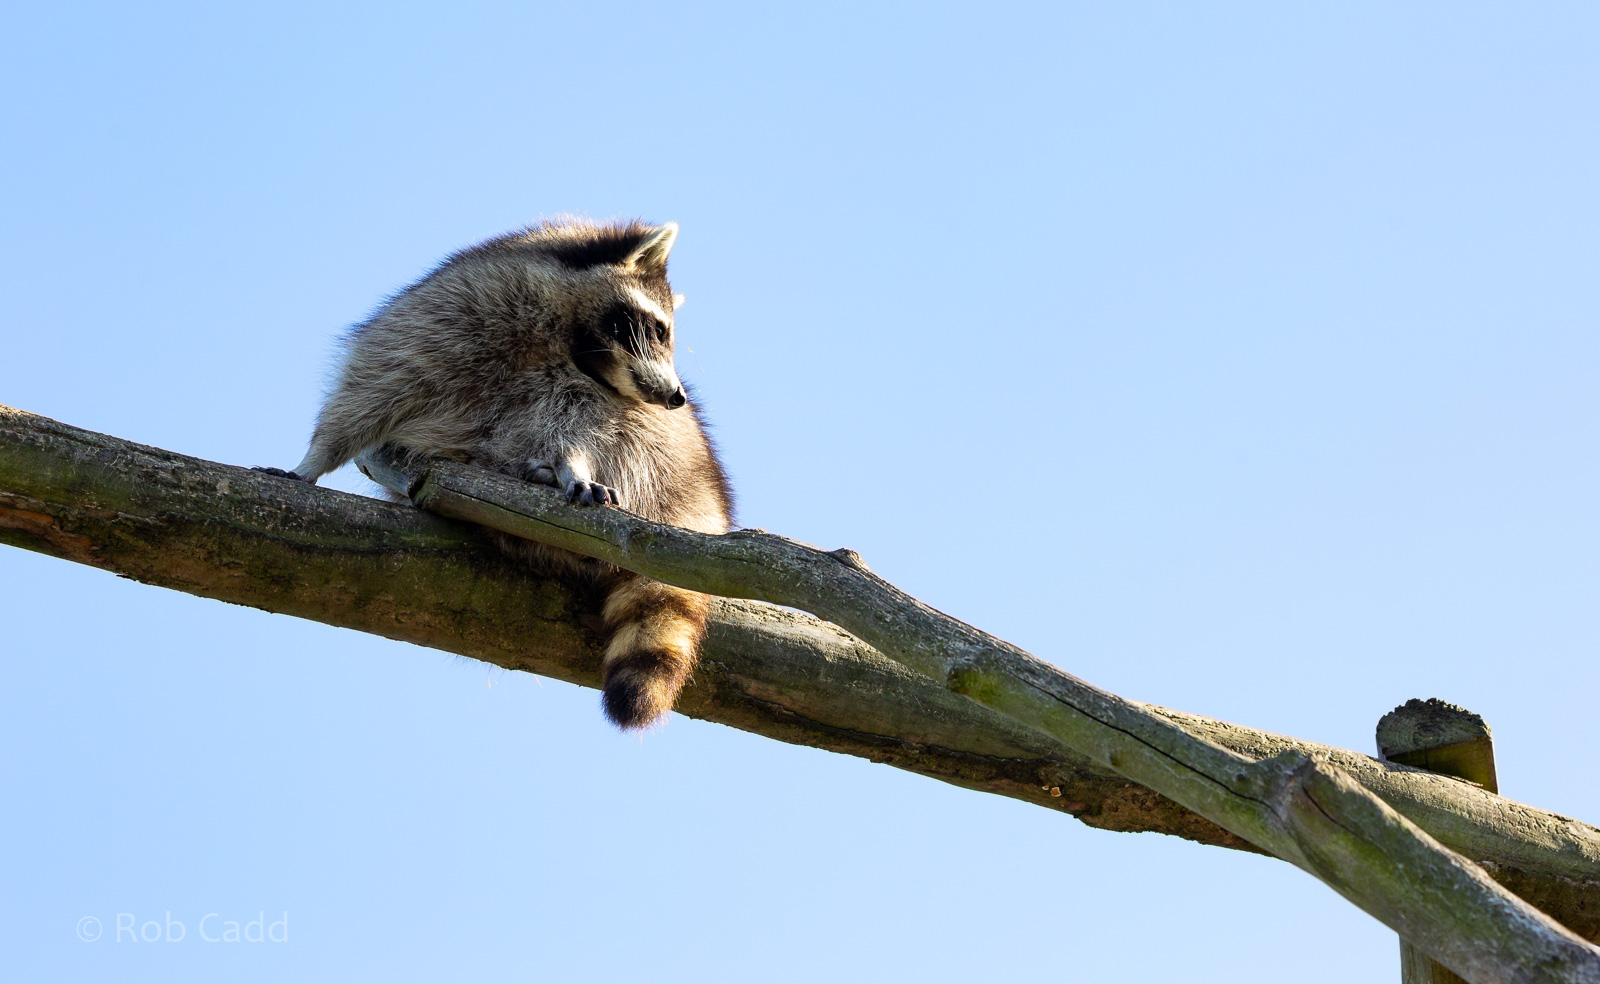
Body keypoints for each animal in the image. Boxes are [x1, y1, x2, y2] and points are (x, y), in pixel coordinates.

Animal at [264, 218, 733, 730]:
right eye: (658, 329)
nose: (677, 397)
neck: (569, 338)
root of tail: (707, 498)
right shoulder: (454, 315)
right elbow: (371, 388)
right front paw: (314, 460)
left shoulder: (595, 393)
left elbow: (581, 425)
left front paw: (571, 461)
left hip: (680, 457)